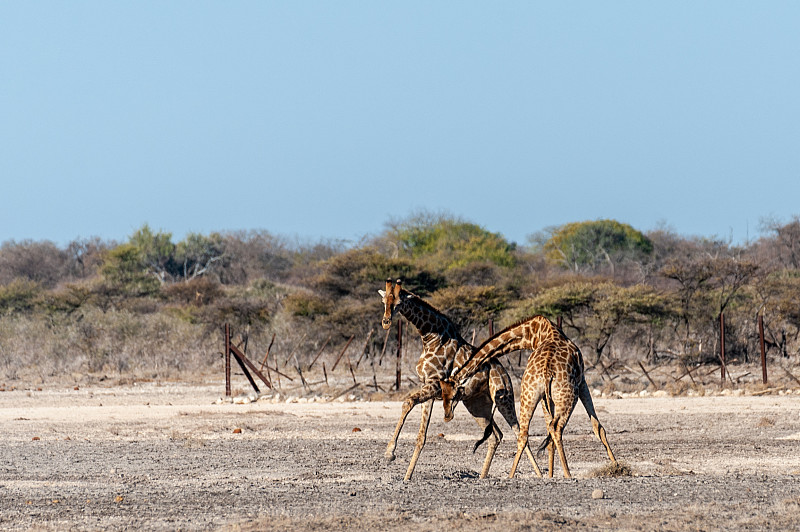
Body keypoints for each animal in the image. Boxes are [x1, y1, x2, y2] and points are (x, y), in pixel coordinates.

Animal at [378, 280, 540, 480]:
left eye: (399, 303)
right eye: (384, 301)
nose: (386, 322)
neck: (431, 338)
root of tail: (503, 371)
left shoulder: (434, 384)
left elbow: (408, 402)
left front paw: (389, 453)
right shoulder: (427, 385)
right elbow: (421, 436)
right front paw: (406, 475)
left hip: (504, 398)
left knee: (519, 432)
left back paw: (540, 475)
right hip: (476, 405)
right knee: (496, 435)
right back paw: (482, 477)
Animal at [440, 314, 616, 480]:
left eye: (454, 394)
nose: (447, 416)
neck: (534, 333)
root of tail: (547, 370)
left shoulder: (547, 396)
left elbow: (552, 435)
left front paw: (550, 475)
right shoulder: (582, 381)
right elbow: (597, 427)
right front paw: (616, 465)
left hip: (529, 394)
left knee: (525, 434)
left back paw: (511, 475)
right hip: (567, 394)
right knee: (556, 428)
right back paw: (568, 474)